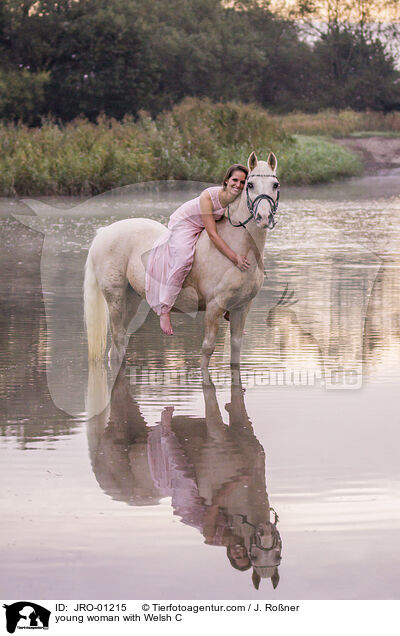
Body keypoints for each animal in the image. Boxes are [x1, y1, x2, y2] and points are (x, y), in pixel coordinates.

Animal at [83, 150, 278, 368]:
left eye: (275, 185)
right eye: (249, 185)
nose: (264, 218)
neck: (236, 247)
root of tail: (104, 232)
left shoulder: (241, 308)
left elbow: (236, 350)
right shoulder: (214, 307)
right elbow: (207, 350)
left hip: (131, 298)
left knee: (119, 344)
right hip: (115, 299)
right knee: (117, 341)